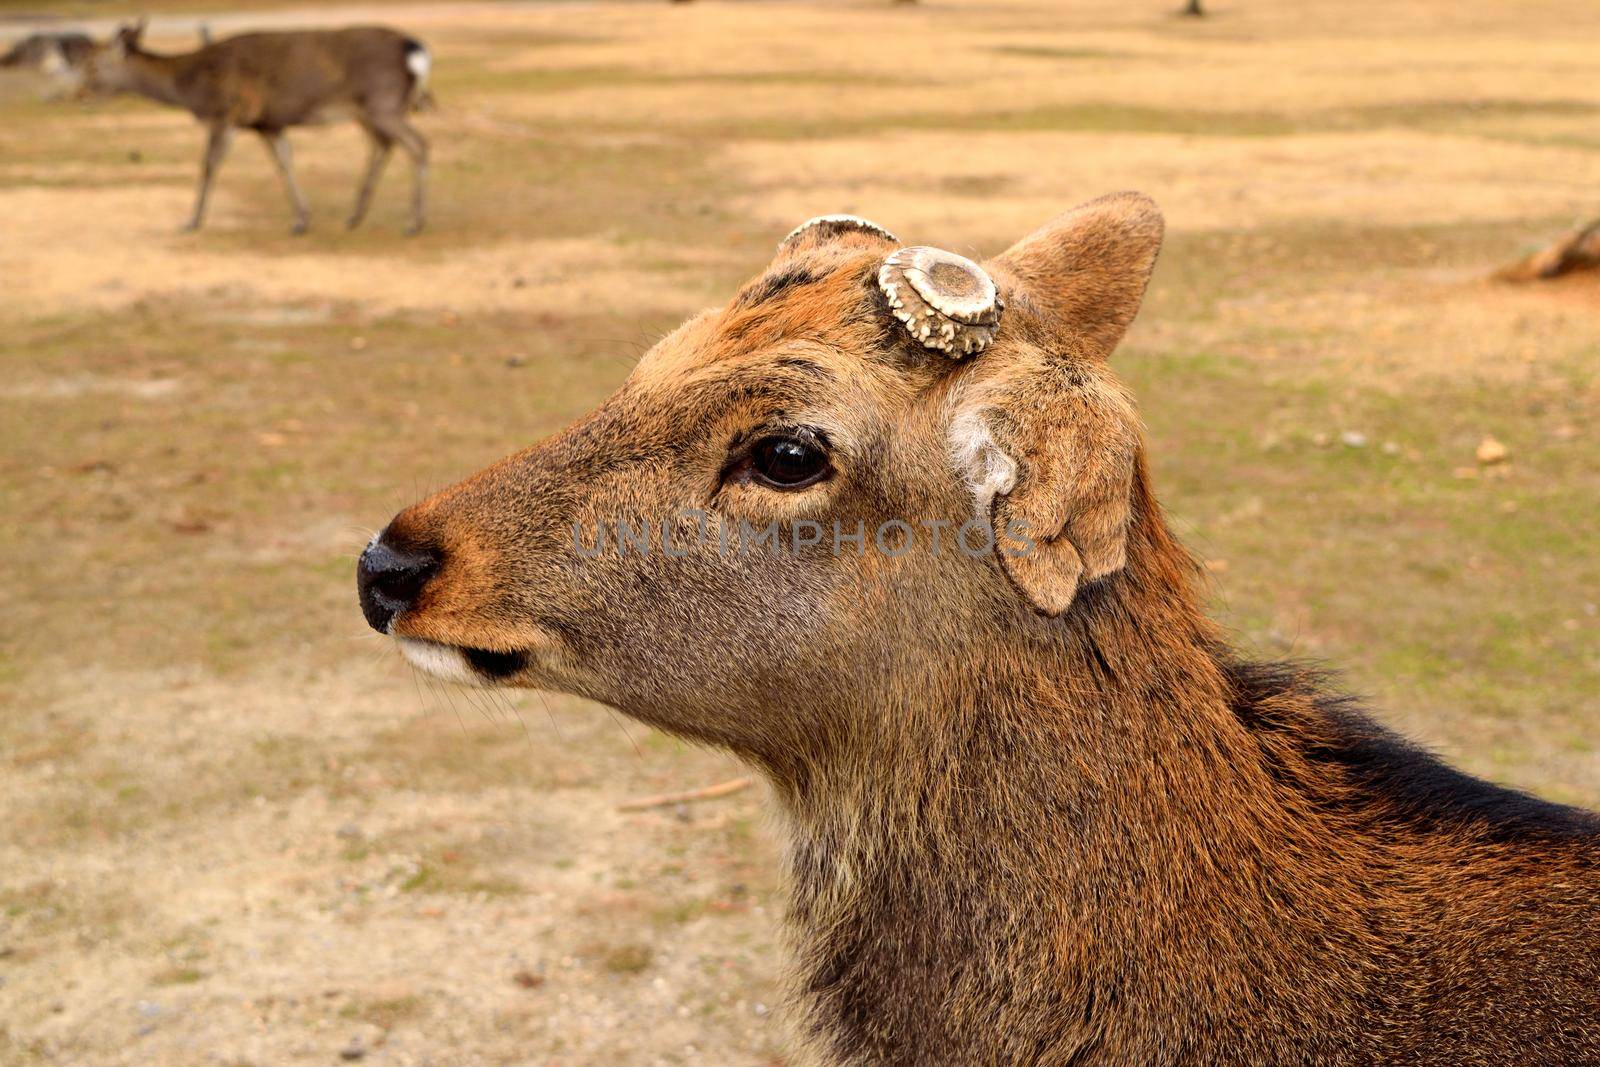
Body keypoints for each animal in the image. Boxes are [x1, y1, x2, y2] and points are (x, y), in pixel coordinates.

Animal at [81, 19, 432, 238]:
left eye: (95, 65)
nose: (82, 94)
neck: (191, 87)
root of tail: (415, 50)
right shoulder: (267, 122)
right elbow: (284, 162)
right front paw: (301, 220)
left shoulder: (226, 112)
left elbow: (209, 165)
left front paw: (192, 221)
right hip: (370, 110)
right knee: (385, 145)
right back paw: (355, 216)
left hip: (382, 102)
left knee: (418, 145)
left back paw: (413, 223)